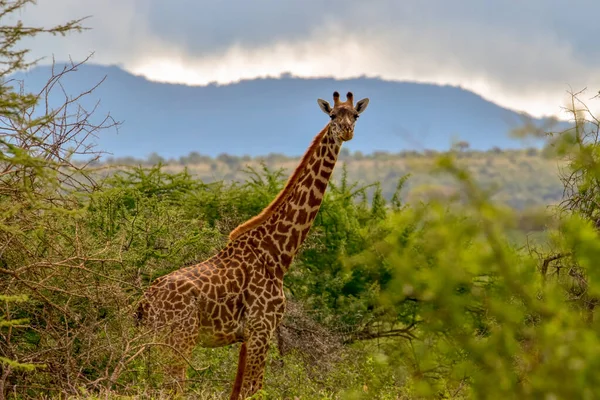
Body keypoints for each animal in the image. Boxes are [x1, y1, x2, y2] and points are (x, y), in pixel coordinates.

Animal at [137, 91, 370, 400]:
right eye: (332, 116)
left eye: (355, 115)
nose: (346, 131)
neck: (277, 252)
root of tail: (144, 302)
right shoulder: (262, 328)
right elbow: (254, 389)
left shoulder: (248, 336)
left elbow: (238, 391)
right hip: (179, 339)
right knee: (170, 388)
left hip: (153, 341)